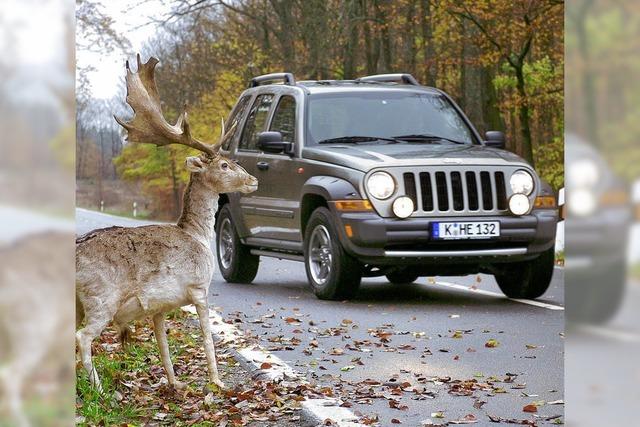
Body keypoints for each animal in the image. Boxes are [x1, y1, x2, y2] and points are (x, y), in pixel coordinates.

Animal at [74, 55, 256, 392]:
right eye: (225, 165)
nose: (253, 180)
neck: (197, 235)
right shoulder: (199, 287)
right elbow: (207, 340)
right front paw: (218, 382)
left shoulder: (157, 307)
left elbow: (163, 345)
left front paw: (176, 384)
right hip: (101, 297)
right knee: (82, 337)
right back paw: (98, 389)